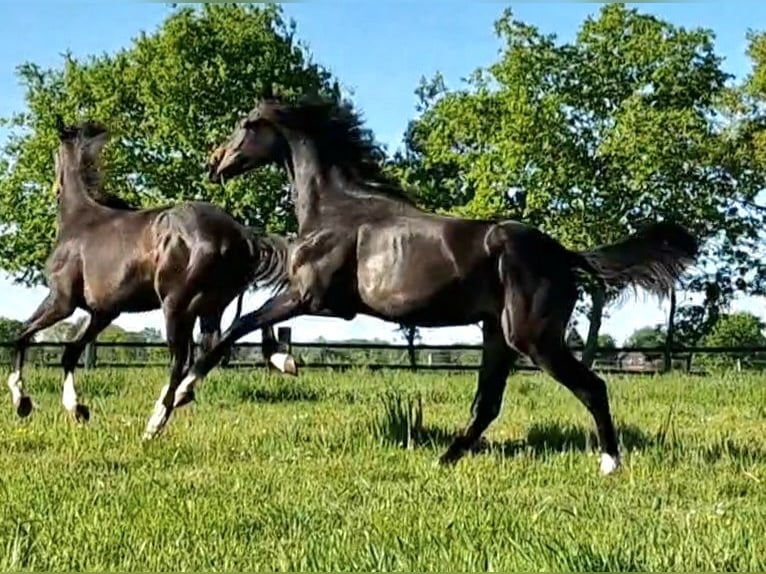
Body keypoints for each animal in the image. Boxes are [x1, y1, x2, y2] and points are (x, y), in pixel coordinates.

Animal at [9, 121, 296, 426]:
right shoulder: (103, 312)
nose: (54, 189)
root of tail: (242, 235)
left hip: (177, 306)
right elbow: (69, 352)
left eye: (54, 154)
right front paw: (77, 409)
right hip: (210, 306)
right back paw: (275, 361)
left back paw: (157, 418)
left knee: (183, 357)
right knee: (218, 342)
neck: (80, 221)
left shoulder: (61, 301)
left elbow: (22, 334)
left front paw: (22, 401)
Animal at [146, 99, 704, 476]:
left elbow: (233, 328)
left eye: (246, 125)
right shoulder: (315, 301)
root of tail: (564, 253)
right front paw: (278, 363)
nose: (215, 162)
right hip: (498, 336)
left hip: (533, 338)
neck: (335, 211)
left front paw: (170, 406)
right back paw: (445, 459)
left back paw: (610, 463)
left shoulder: (314, 298)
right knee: (487, 405)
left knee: (591, 387)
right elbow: (248, 325)